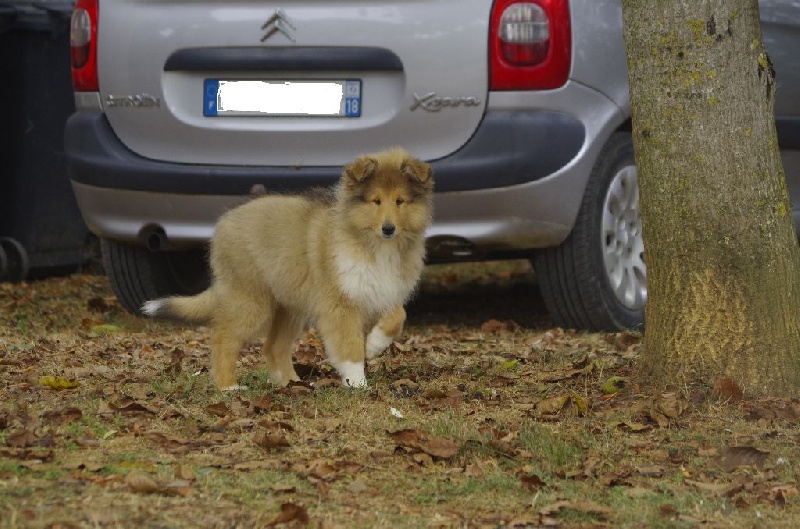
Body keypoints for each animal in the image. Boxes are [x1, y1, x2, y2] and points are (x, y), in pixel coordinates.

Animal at [141, 147, 434, 388]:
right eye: (376, 201)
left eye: (400, 201)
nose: (388, 229)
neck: (374, 245)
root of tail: (224, 221)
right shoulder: (340, 304)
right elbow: (348, 346)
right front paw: (357, 383)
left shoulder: (382, 289)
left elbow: (398, 316)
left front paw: (373, 347)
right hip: (251, 300)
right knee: (224, 337)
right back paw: (228, 387)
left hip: (289, 306)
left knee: (273, 347)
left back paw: (292, 384)